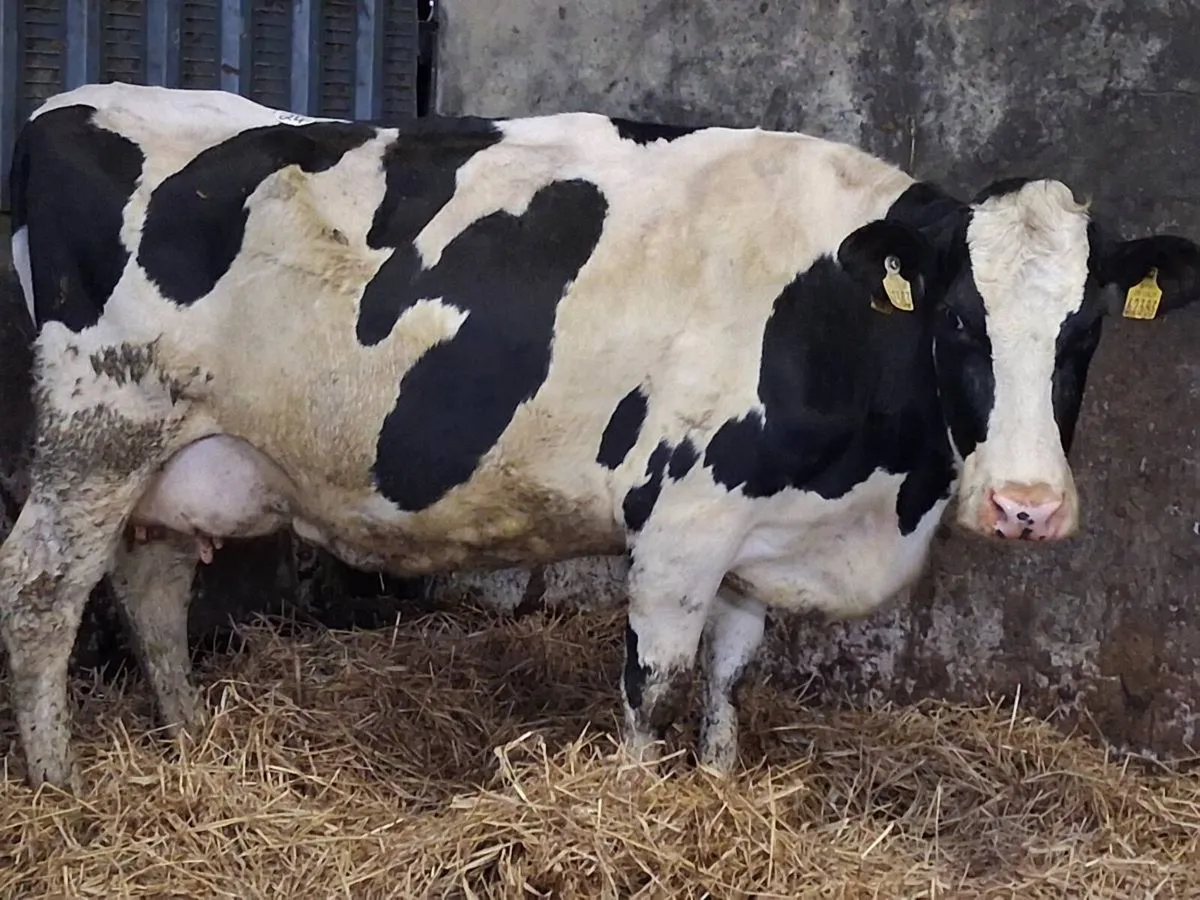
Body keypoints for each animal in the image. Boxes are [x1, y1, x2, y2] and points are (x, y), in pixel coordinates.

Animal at [3, 82, 1199, 791]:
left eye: (1086, 328)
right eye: (958, 320)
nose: (1026, 508)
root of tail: (75, 102)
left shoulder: (755, 536)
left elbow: (729, 677)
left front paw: (717, 787)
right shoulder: (682, 520)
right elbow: (655, 679)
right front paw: (633, 801)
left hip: (176, 458)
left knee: (151, 590)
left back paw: (189, 744)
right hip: (97, 429)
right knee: (42, 591)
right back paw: (62, 786)